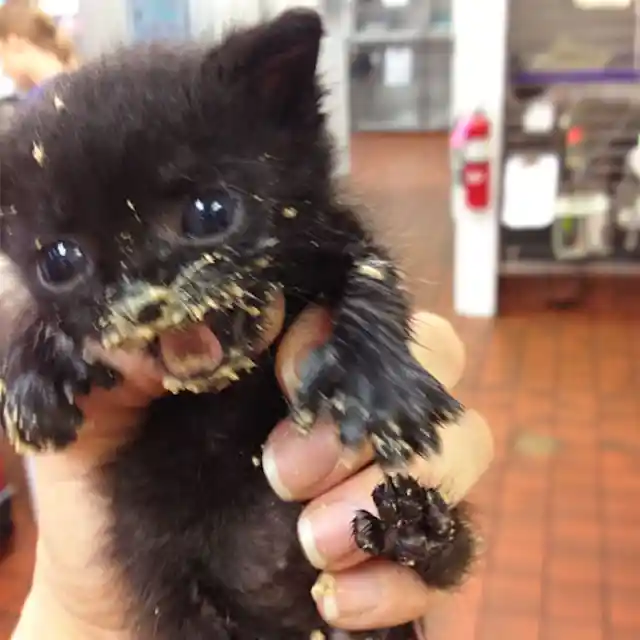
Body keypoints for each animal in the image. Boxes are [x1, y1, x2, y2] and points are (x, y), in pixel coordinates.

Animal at [0, 10, 472, 640]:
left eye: (211, 213)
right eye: (58, 261)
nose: (143, 301)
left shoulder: (336, 234)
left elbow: (372, 275)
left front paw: (378, 385)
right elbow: (27, 311)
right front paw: (31, 383)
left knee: (453, 561)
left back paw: (420, 532)